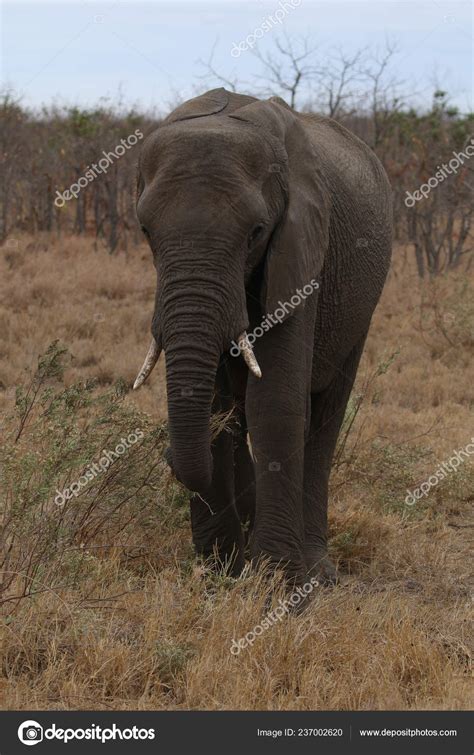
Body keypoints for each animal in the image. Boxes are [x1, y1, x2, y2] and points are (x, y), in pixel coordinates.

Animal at [133, 87, 392, 584]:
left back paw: (318, 571)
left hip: (361, 308)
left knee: (326, 414)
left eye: (255, 232)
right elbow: (219, 408)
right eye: (146, 232)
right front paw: (222, 574)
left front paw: (279, 585)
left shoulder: (303, 245)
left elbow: (274, 400)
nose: (168, 456)